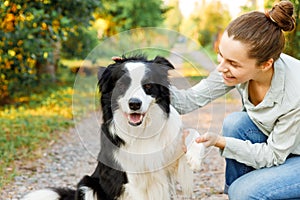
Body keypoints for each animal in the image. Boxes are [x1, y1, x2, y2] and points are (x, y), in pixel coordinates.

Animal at [21, 55, 204, 200]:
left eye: (148, 86)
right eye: (122, 86)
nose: (134, 104)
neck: (141, 131)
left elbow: (192, 133)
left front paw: (194, 157)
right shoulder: (131, 179)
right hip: (87, 185)